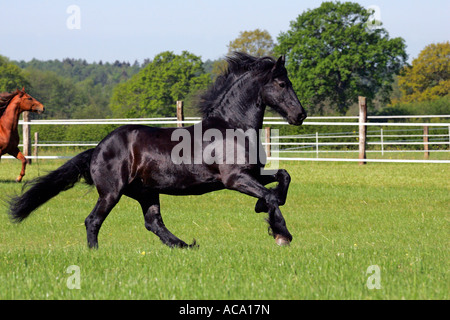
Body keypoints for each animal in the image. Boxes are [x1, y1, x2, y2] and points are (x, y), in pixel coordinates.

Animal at [9, 52, 306, 249]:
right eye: (282, 84)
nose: (300, 115)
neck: (232, 126)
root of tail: (97, 149)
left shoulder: (252, 173)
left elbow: (282, 178)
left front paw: (264, 210)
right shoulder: (234, 179)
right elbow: (270, 195)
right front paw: (282, 234)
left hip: (146, 192)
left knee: (153, 223)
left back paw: (185, 246)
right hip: (112, 192)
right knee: (93, 220)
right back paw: (95, 253)